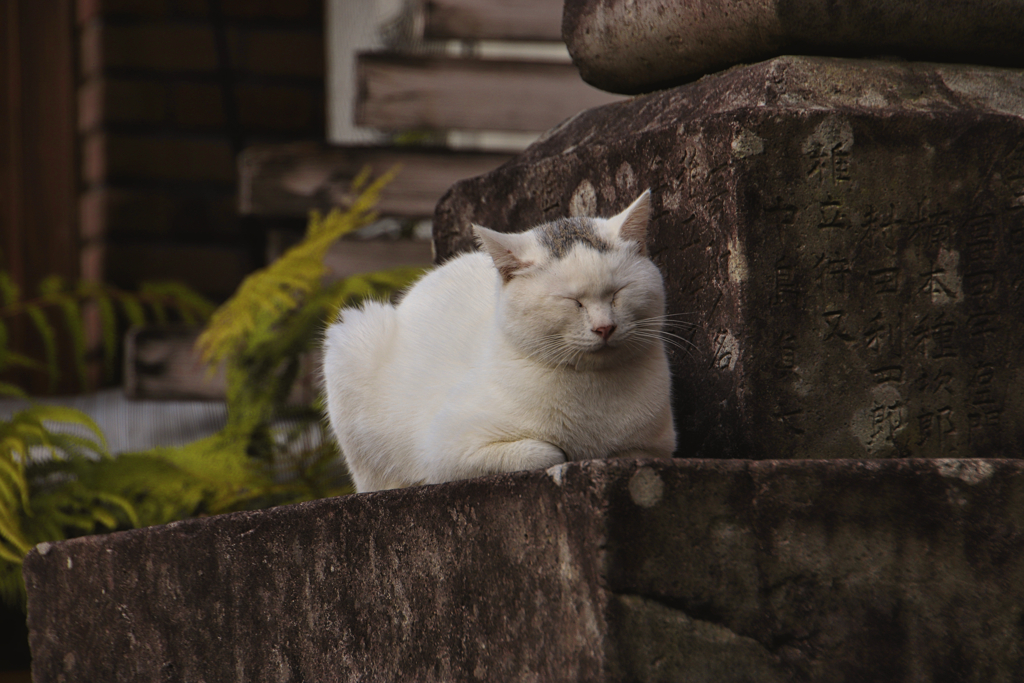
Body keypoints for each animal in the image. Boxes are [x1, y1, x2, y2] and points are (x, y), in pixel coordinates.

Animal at [323, 191, 675, 491]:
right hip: (353, 340)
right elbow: (547, 452)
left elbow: (625, 452)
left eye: (618, 293)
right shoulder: (447, 449)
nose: (605, 328)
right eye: (571, 301)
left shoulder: (654, 448)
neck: (594, 393)